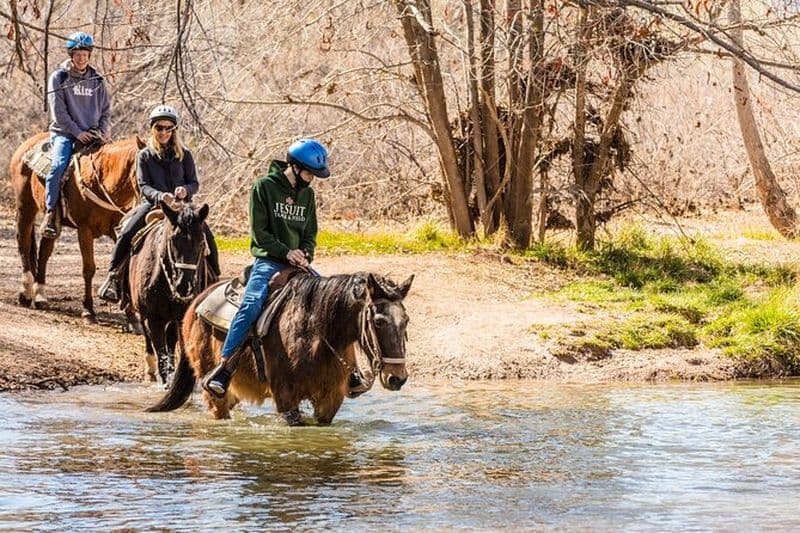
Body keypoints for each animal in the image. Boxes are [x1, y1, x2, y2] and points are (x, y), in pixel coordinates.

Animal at [9, 132, 144, 322]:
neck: (102, 179)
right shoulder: (84, 230)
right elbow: (89, 269)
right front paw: (88, 310)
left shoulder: (117, 229)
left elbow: (121, 264)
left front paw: (131, 316)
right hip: (25, 207)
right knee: (24, 244)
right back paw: (26, 294)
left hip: (53, 222)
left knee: (44, 251)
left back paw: (40, 295)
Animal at [125, 201, 214, 384]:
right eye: (172, 240)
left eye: (202, 242)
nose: (184, 286)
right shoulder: (153, 318)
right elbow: (161, 355)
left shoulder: (181, 317)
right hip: (143, 314)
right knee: (148, 338)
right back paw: (150, 369)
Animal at [147, 271, 414, 424]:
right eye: (378, 321)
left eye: (406, 320)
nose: (397, 378)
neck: (316, 335)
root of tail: (196, 302)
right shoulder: (286, 400)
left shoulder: (330, 401)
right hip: (212, 388)